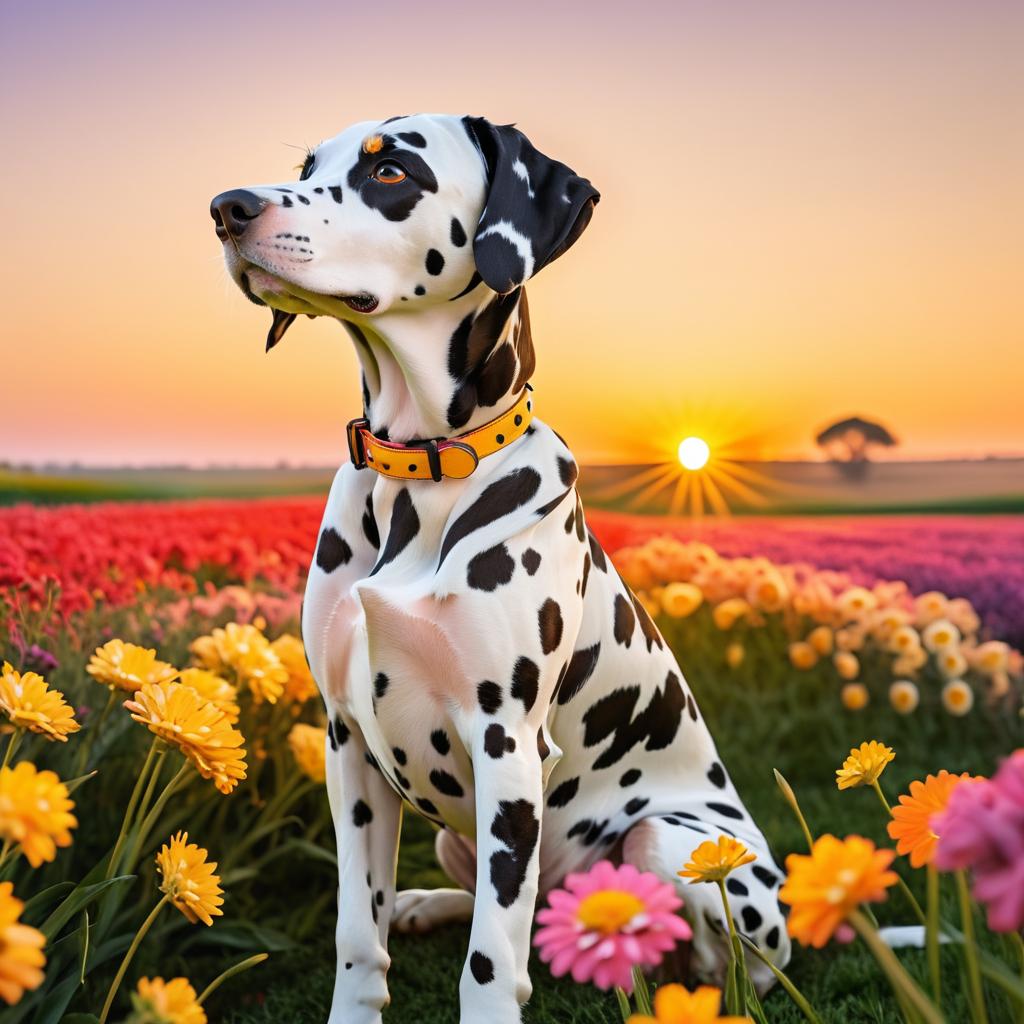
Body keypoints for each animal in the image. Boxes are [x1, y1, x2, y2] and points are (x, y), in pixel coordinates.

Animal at [211, 114, 790, 1024]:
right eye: (305, 166)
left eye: (390, 169)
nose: (225, 209)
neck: (419, 470)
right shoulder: (348, 742)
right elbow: (356, 930)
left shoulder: (506, 743)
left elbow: (489, 960)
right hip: (457, 835)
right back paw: (430, 906)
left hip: (673, 841)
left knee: (720, 963)